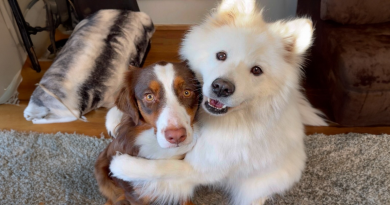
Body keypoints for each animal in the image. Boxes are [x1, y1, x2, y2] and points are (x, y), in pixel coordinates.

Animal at [108, 0, 324, 204]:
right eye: (221, 55)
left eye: (256, 70)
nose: (221, 87)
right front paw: (113, 118)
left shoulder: (202, 168)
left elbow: (162, 167)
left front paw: (121, 165)